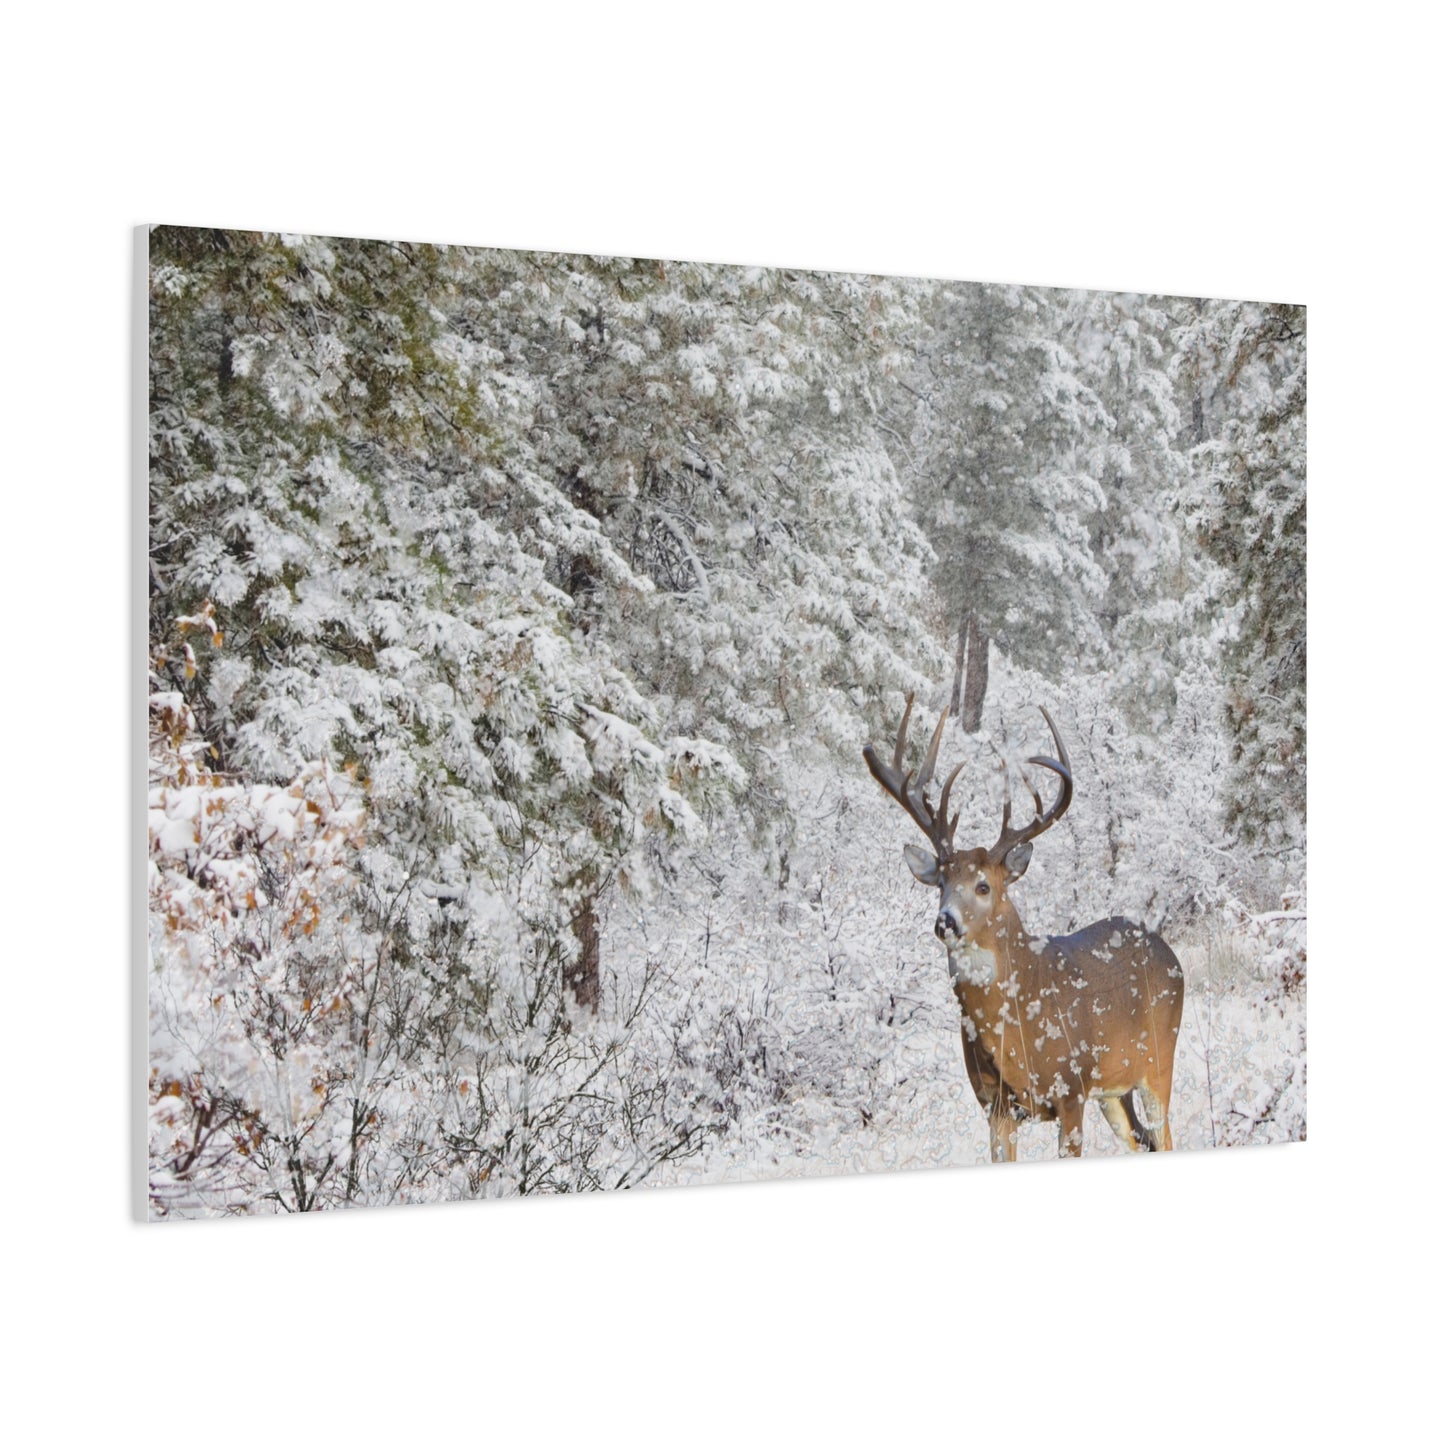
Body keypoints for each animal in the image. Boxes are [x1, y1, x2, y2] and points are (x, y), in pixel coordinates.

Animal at [864, 694, 1184, 1162]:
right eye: (940, 883)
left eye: (983, 886)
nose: (945, 921)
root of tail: (1168, 951)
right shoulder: (995, 1105)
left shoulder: (1071, 1089)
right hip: (1113, 1091)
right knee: (1143, 1143)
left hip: (1158, 1062)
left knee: (1166, 1136)